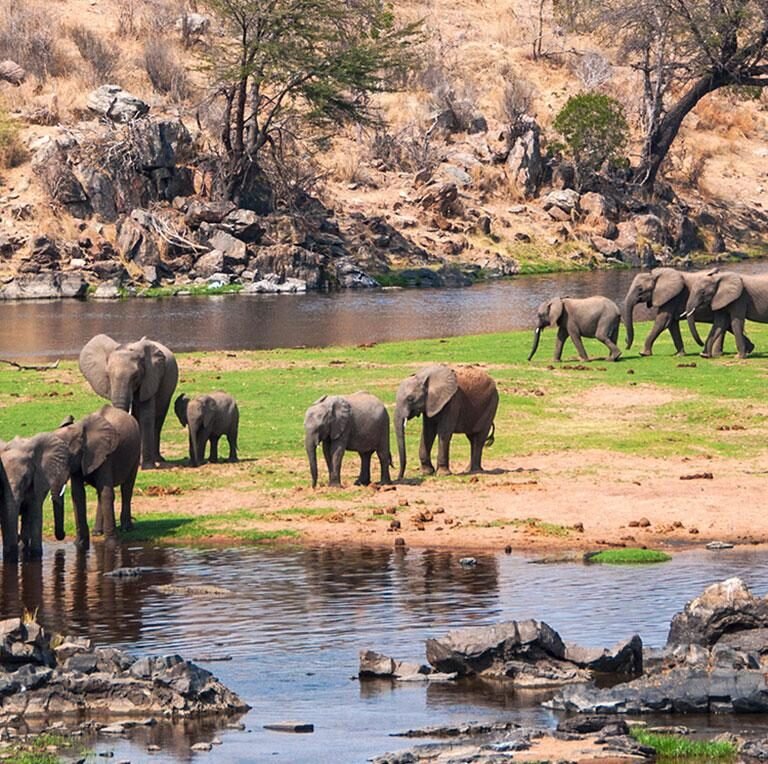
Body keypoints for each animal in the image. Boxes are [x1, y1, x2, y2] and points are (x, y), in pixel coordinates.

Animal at [0, 433, 70, 562]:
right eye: (1, 478)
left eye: (25, 478)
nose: (64, 533)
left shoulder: (38, 481)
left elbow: (35, 511)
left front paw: (36, 555)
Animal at [52, 405, 141, 550]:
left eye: (68, 457)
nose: (63, 535)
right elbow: (78, 495)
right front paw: (79, 545)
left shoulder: (105, 455)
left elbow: (106, 493)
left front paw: (112, 545)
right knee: (100, 492)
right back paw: (97, 532)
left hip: (136, 451)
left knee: (127, 488)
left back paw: (126, 528)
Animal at [79, 334, 178, 469]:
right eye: (107, 375)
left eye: (135, 376)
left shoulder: (150, 378)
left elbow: (146, 417)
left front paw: (148, 467)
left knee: (158, 419)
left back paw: (158, 459)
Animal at [622, 268, 753, 356]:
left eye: (640, 289)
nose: (626, 342)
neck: (656, 275)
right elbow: (671, 323)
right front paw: (679, 355)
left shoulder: (672, 296)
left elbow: (663, 321)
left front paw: (643, 353)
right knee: (727, 326)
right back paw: (747, 349)